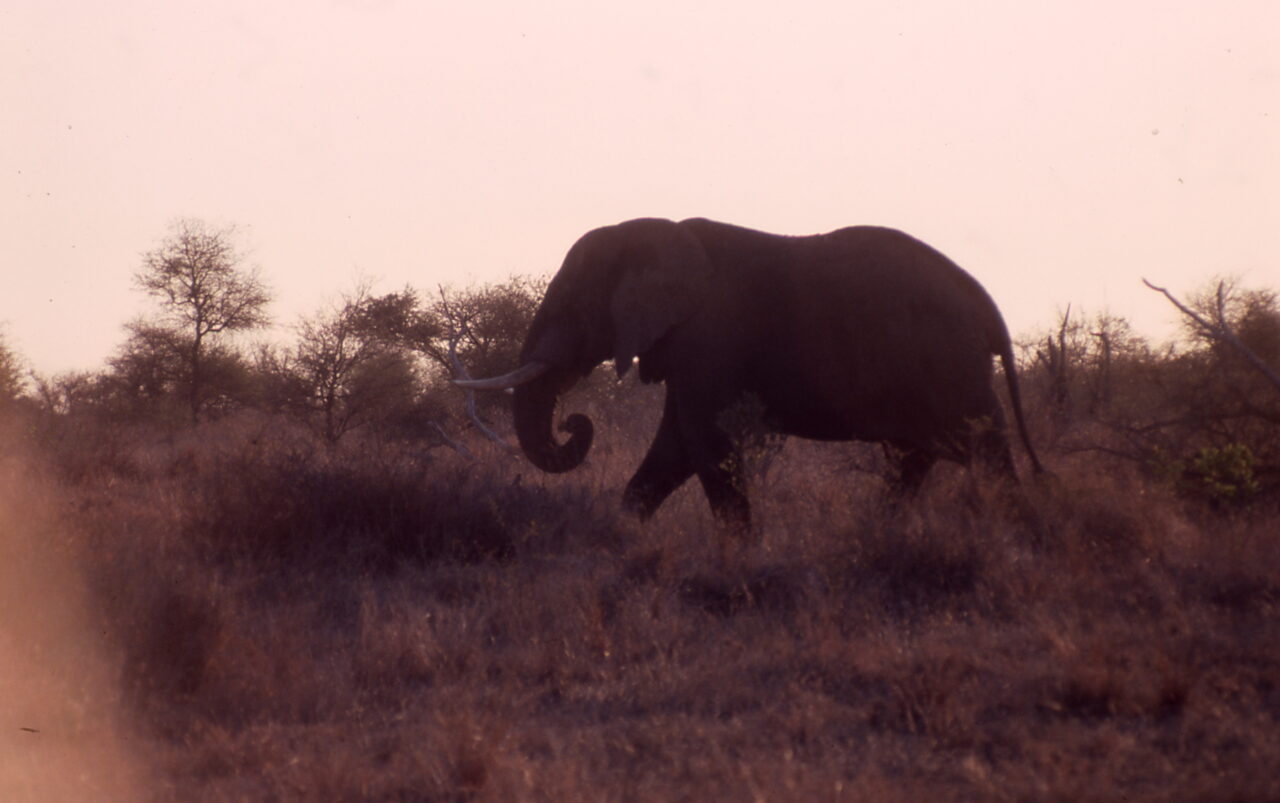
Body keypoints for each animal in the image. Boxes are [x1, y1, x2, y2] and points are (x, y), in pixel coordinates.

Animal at [457, 217, 1043, 526]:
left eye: (572, 308)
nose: (574, 422)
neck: (654, 231)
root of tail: (986, 304)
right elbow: (676, 445)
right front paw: (627, 533)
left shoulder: (710, 336)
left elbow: (703, 441)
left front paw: (740, 555)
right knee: (915, 457)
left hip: (950, 364)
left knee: (982, 448)